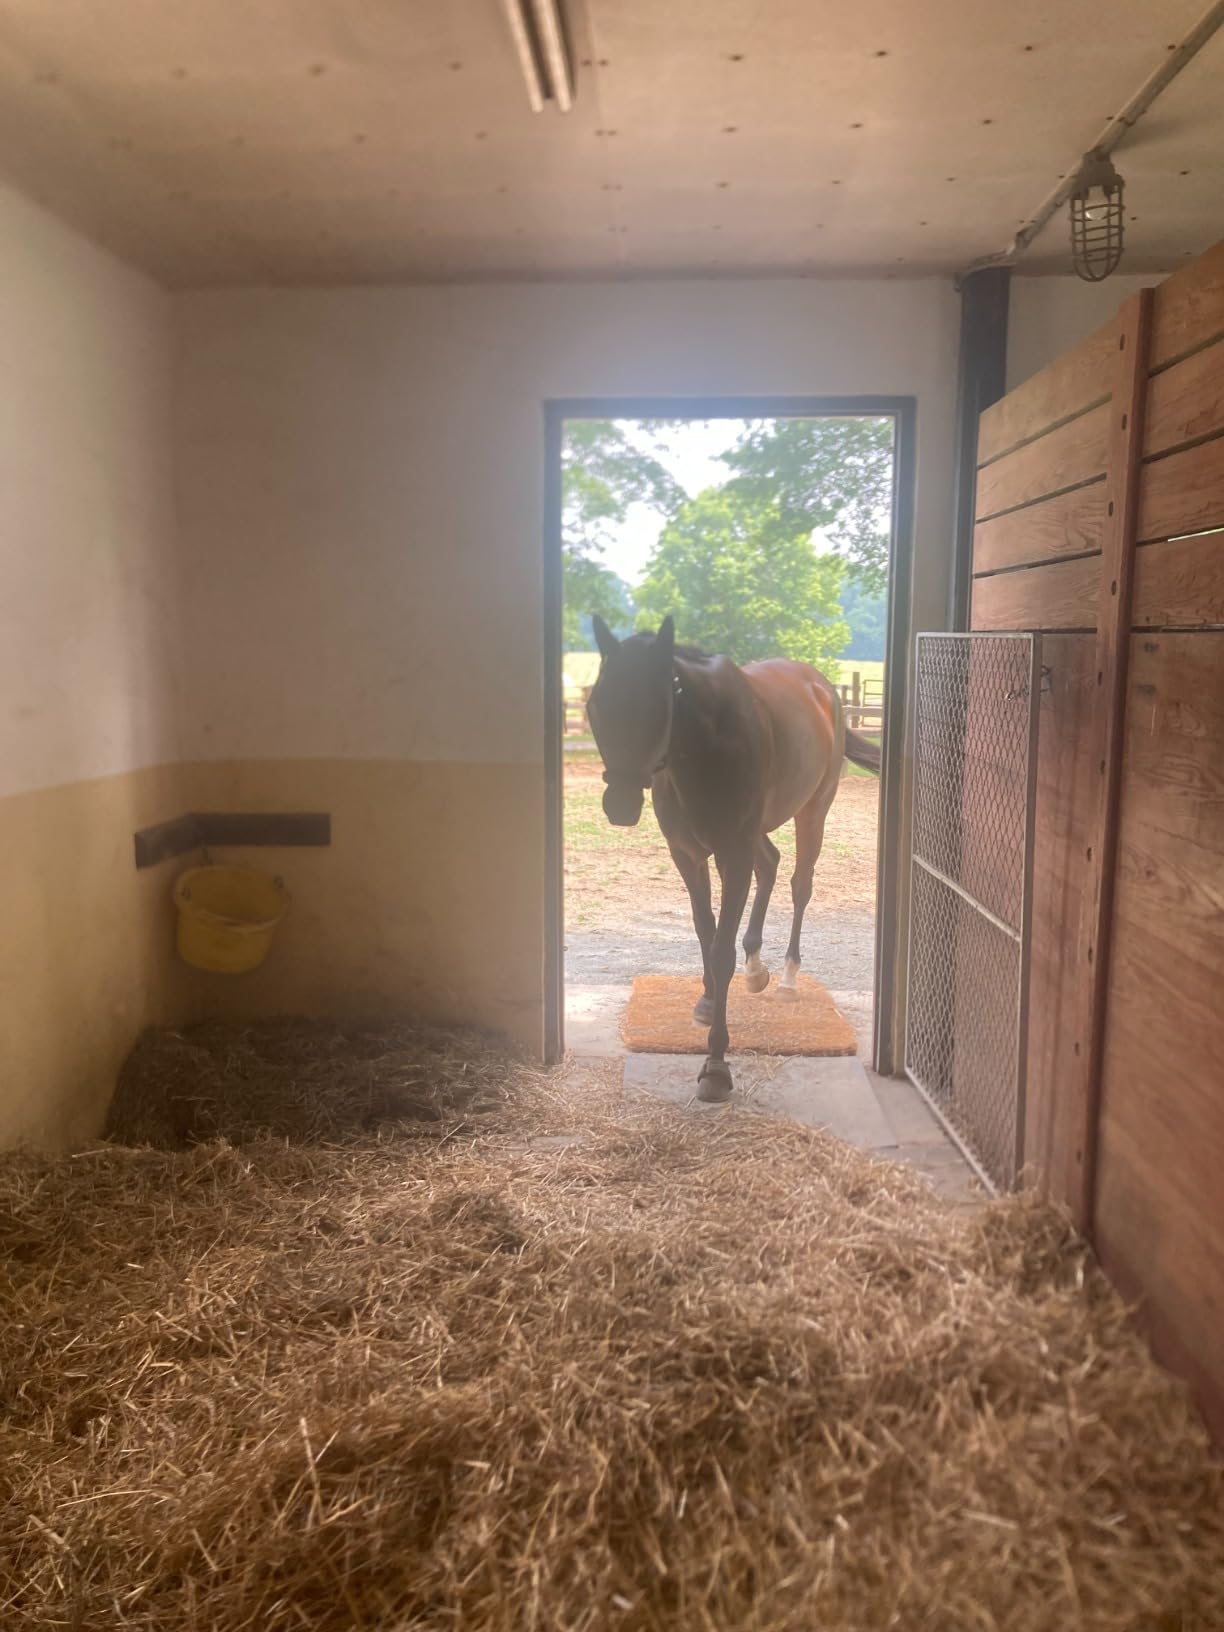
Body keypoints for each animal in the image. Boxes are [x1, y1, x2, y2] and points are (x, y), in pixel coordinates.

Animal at [586, 614, 880, 1103]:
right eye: (595, 706)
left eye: (657, 705)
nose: (620, 805)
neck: (704, 747)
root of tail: (822, 687)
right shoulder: (687, 855)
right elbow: (705, 932)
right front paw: (708, 1001)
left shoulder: (732, 853)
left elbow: (721, 948)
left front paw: (716, 1065)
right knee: (771, 864)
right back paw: (756, 967)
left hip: (812, 812)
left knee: (800, 884)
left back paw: (786, 978)